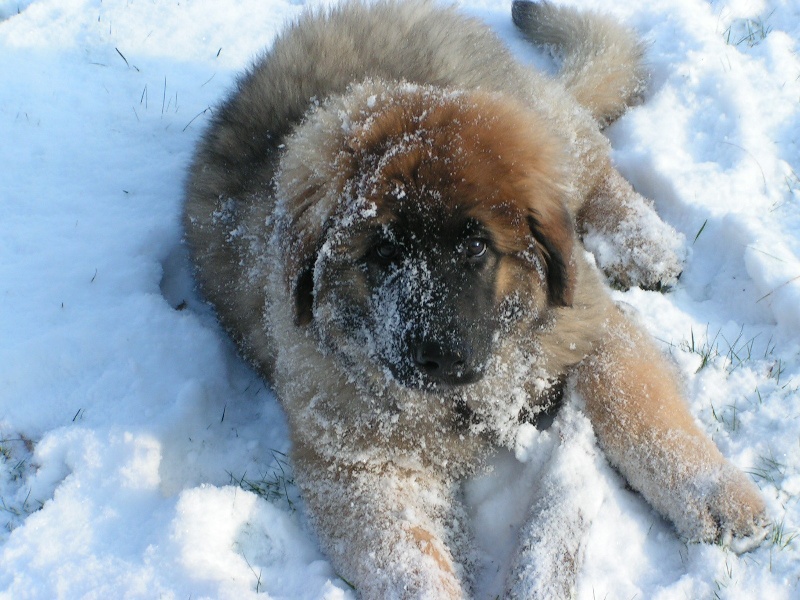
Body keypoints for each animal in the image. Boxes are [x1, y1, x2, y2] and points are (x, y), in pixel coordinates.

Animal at [183, 1, 767, 597]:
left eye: (475, 246)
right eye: (382, 253)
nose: (437, 355)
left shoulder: (587, 324)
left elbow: (643, 411)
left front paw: (716, 495)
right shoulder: (358, 462)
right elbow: (408, 561)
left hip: (542, 122)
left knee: (594, 162)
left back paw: (644, 243)